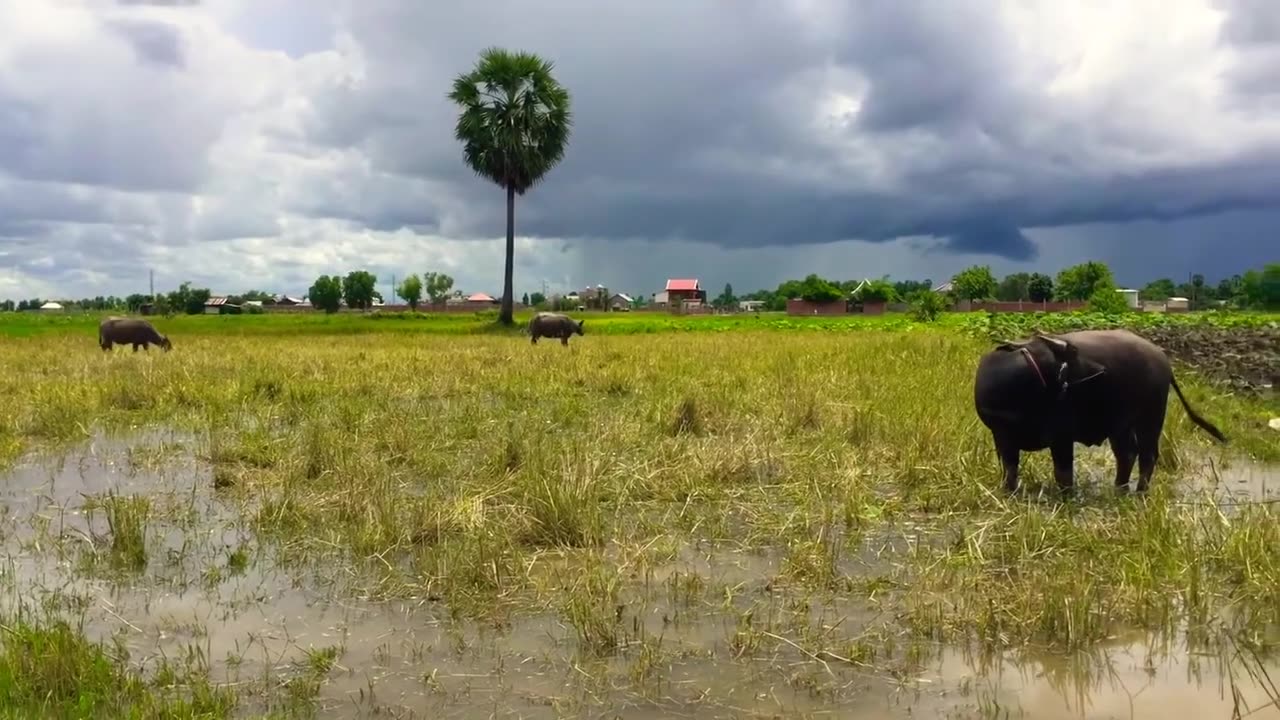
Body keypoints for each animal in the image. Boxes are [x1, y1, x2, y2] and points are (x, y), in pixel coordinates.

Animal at [972, 326, 1223, 489]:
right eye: (1074, 353)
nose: (1103, 370)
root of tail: (1164, 362)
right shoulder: (1001, 434)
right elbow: (1009, 468)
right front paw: (1009, 490)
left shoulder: (1061, 435)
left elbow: (1063, 472)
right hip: (1120, 424)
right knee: (1127, 453)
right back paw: (1119, 488)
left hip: (1150, 418)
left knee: (1147, 455)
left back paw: (1140, 491)